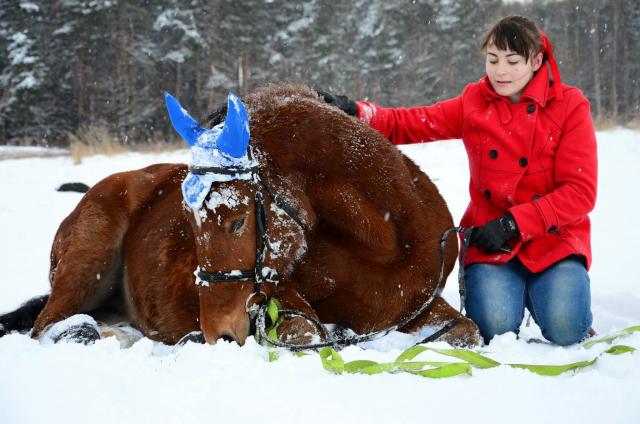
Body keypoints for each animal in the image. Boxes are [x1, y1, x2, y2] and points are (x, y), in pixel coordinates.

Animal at [1, 83, 480, 348]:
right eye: (190, 223)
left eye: (236, 220)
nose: (220, 333)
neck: (384, 246)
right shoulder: (277, 296)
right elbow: (310, 332)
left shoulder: (417, 309)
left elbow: (469, 330)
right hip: (90, 257)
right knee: (50, 323)